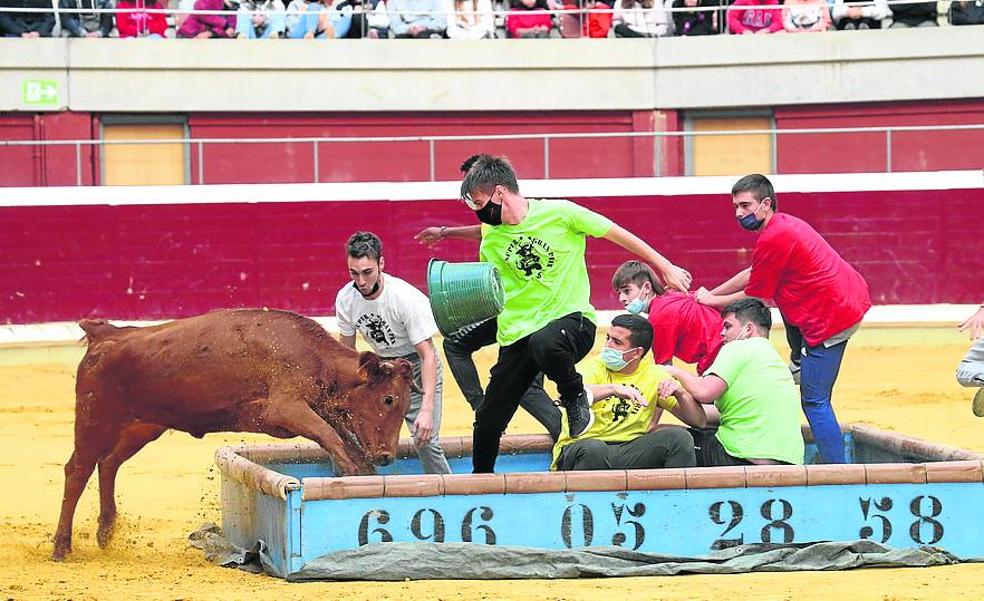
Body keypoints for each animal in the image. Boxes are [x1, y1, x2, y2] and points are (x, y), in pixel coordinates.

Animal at [52, 308, 414, 560]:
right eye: (388, 399)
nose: (387, 456)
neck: (317, 359)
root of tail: (106, 335)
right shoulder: (286, 408)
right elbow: (335, 440)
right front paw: (350, 478)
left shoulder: (315, 412)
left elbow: (344, 443)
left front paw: (364, 477)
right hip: (95, 418)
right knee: (78, 469)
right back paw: (61, 547)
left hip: (142, 426)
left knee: (108, 463)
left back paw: (105, 531)